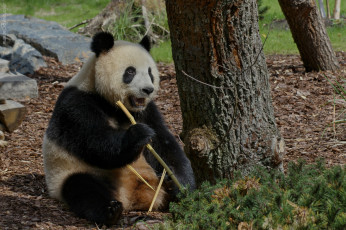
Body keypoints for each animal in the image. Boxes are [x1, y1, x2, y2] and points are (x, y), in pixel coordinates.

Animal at [42, 31, 196, 226]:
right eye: (130, 71)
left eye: (150, 72)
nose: (148, 89)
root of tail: (133, 198)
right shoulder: (76, 104)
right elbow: (97, 143)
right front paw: (140, 134)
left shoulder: (146, 110)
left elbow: (164, 144)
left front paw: (182, 184)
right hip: (68, 173)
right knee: (83, 188)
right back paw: (111, 210)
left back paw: (170, 185)